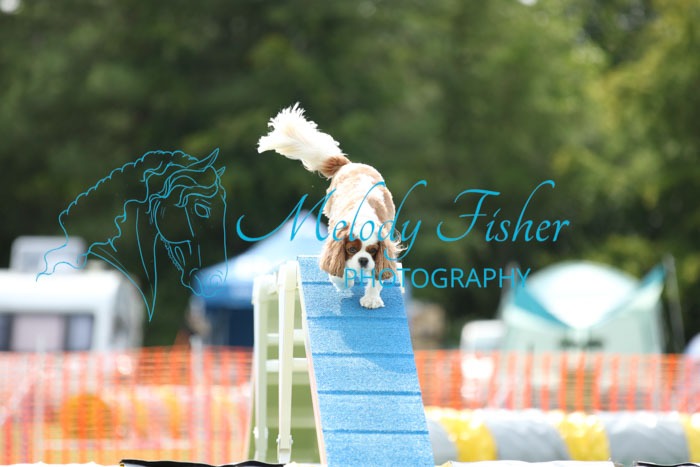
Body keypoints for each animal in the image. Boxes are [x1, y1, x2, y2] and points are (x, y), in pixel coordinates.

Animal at [257, 104, 400, 308]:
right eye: (351, 249)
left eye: (373, 251)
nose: (363, 260)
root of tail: (349, 164)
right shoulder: (335, 245)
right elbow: (338, 271)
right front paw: (344, 282)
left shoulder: (384, 251)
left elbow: (377, 275)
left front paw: (371, 299)